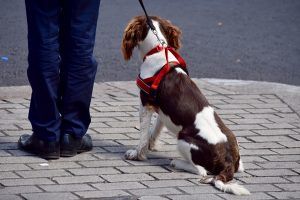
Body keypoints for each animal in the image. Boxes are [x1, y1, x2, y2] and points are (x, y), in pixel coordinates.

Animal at [120, 16, 250, 195]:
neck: (157, 49)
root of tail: (229, 161)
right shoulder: (162, 110)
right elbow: (155, 130)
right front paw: (151, 146)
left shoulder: (145, 104)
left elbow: (143, 134)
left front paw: (137, 154)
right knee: (239, 167)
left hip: (183, 140)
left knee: (202, 171)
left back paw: (176, 162)